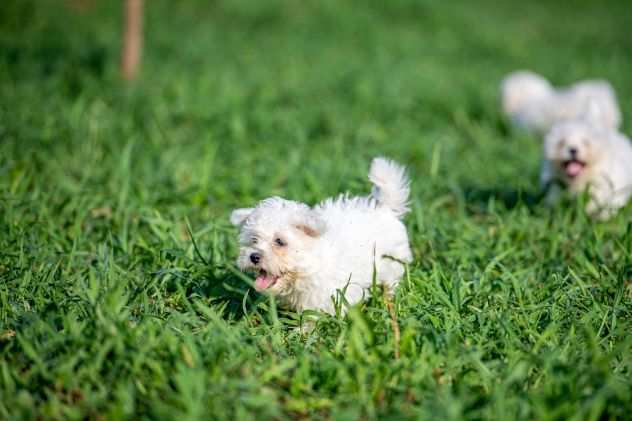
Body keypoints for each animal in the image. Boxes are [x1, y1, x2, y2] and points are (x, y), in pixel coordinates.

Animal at [230, 156, 412, 314]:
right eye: (254, 240)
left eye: (280, 242)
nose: (254, 256)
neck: (310, 265)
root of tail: (384, 208)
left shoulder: (333, 294)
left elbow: (313, 317)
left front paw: (303, 331)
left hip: (392, 262)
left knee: (390, 283)